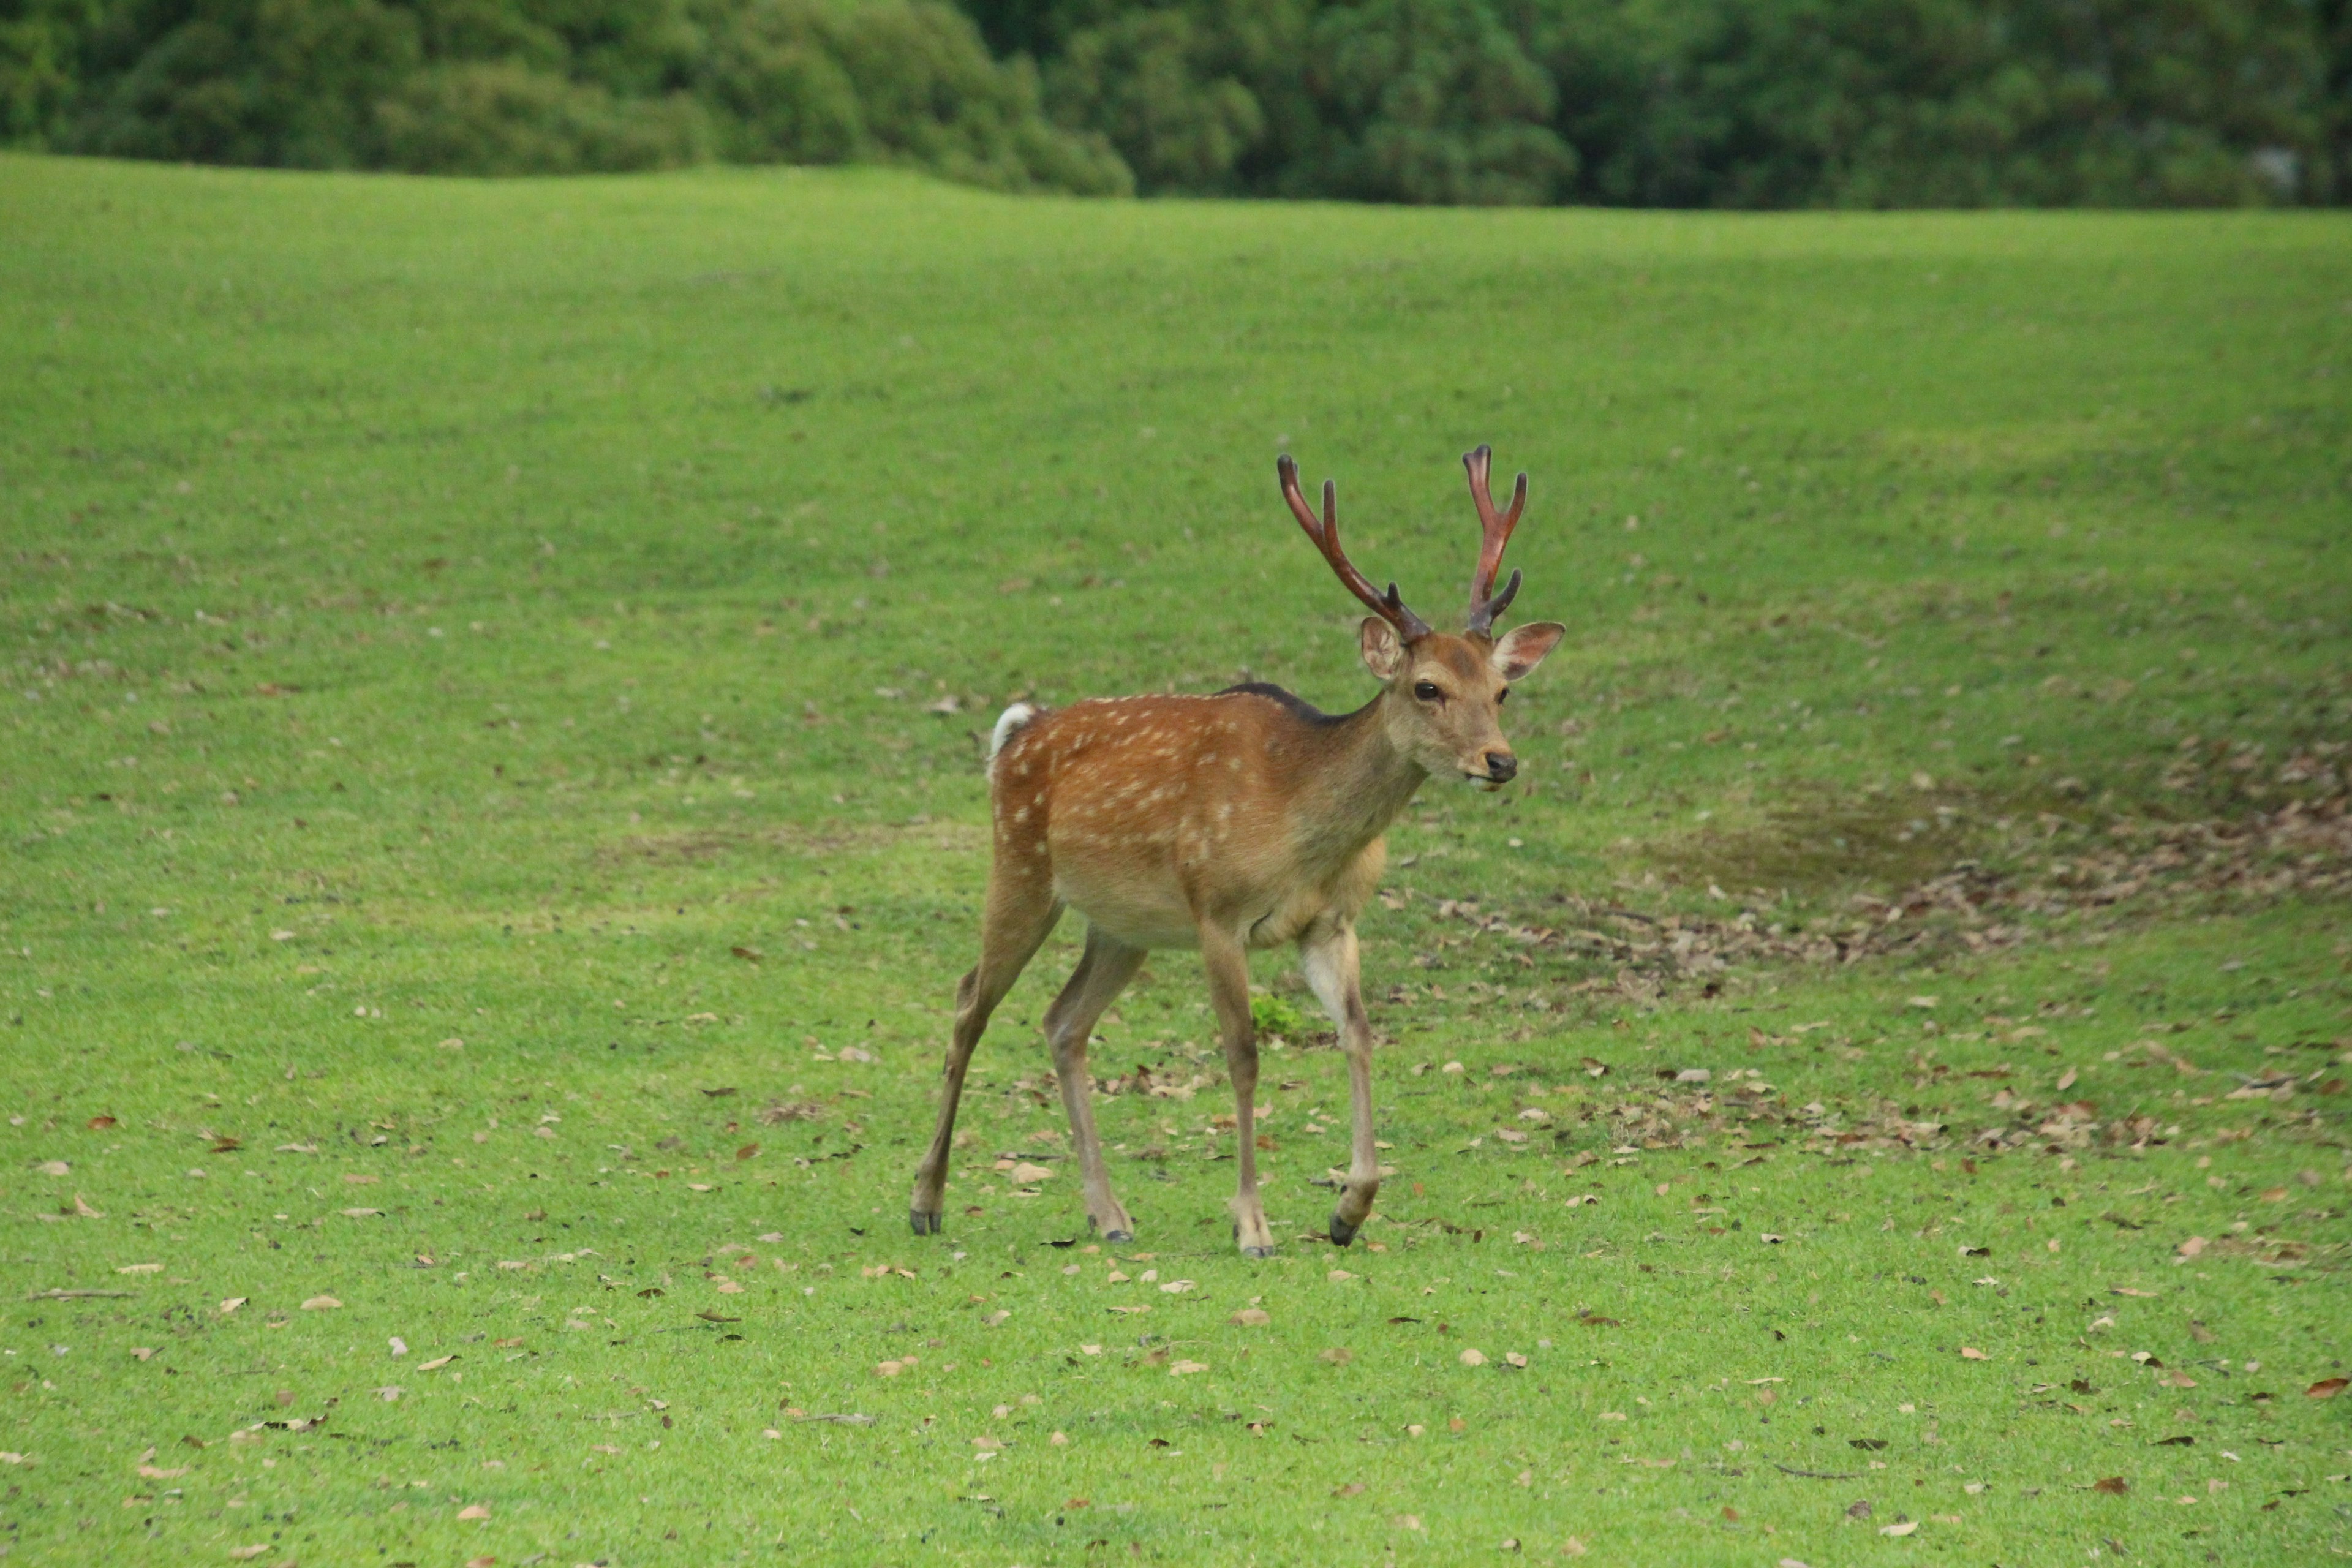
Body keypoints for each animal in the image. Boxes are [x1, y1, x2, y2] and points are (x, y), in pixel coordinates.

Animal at [912, 447, 1561, 1260]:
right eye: (1427, 687)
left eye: (1502, 690)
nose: (1499, 761)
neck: (1301, 831)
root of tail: (1016, 732)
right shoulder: (1218, 912)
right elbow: (1244, 1055)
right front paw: (1252, 1223)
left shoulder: (1332, 924)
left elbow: (1359, 1035)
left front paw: (1349, 1209)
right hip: (1020, 870)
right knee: (970, 1001)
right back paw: (927, 1200)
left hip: (1122, 928)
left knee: (1063, 1021)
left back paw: (1109, 1213)